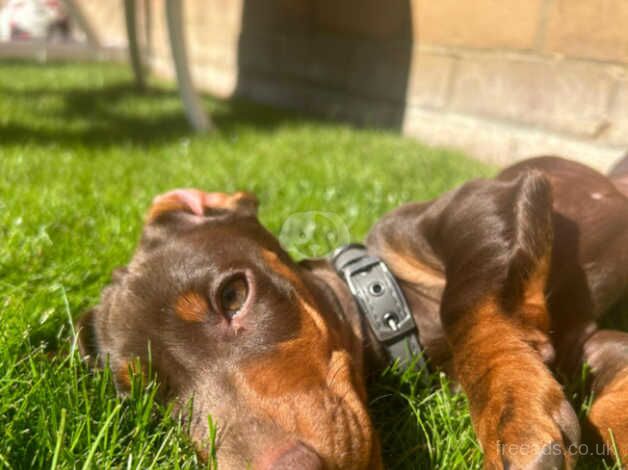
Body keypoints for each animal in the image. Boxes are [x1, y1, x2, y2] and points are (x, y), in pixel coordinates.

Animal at [77, 157, 628, 470]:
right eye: (149, 402)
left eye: (233, 296)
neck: (385, 300)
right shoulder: (590, 341)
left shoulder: (485, 199)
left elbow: (467, 304)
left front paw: (515, 418)